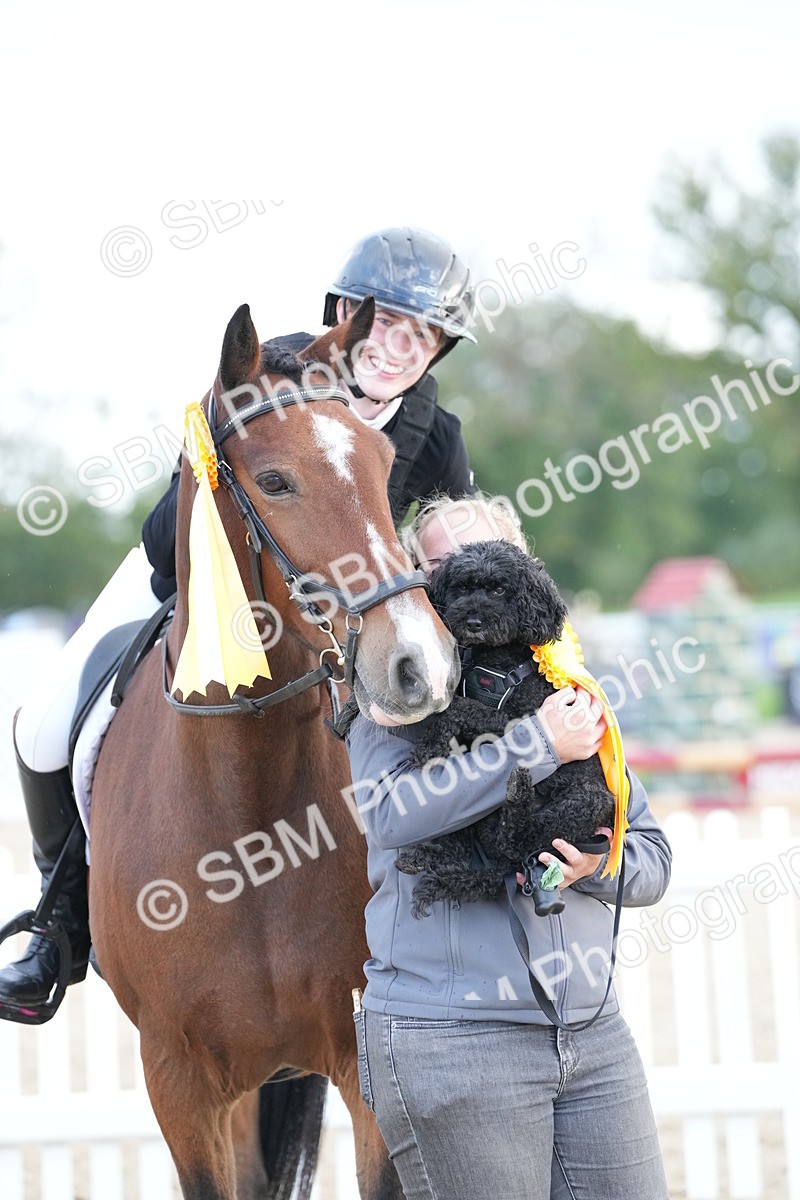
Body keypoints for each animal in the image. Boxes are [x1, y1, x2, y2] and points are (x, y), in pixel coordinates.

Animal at [88, 298, 460, 1200]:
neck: (246, 805)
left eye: (384, 466)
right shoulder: (181, 1084)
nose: (418, 666)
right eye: (275, 481)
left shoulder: (364, 1058)